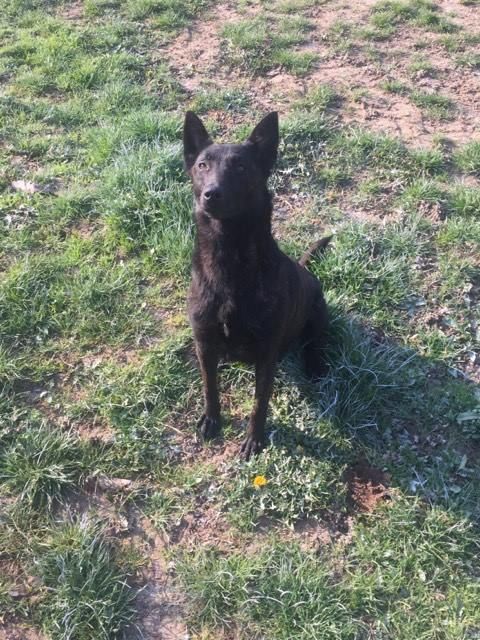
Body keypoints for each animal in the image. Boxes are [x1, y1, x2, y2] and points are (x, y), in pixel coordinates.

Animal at [184, 111, 330, 460]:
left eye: (240, 167)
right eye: (202, 165)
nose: (212, 194)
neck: (228, 257)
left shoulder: (266, 354)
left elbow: (259, 403)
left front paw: (254, 439)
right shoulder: (204, 342)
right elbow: (210, 387)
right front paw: (212, 420)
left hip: (318, 312)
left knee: (315, 341)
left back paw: (314, 363)